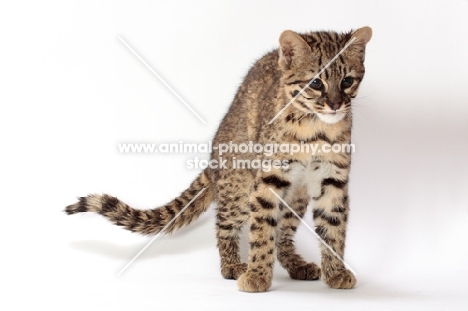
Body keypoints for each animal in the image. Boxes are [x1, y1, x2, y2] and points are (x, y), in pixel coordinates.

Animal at [66, 26, 372, 292]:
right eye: (316, 82)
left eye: (347, 81)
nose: (335, 104)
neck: (317, 128)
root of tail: (213, 155)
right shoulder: (268, 178)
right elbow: (262, 230)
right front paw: (257, 276)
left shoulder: (332, 177)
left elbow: (333, 226)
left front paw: (336, 272)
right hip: (239, 187)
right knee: (226, 226)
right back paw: (234, 266)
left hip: (295, 196)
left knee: (283, 232)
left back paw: (296, 265)